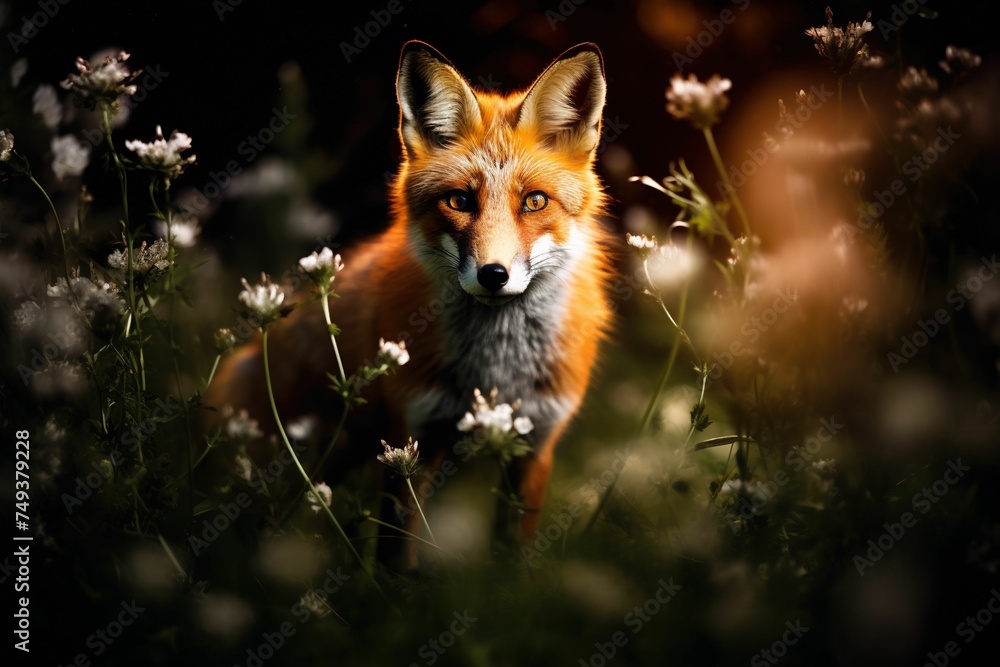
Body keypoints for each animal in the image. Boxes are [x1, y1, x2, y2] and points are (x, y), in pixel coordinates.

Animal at [209, 40, 616, 544]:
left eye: (535, 201)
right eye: (459, 201)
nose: (493, 275)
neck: (495, 372)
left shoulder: (535, 449)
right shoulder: (411, 443)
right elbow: (399, 552)